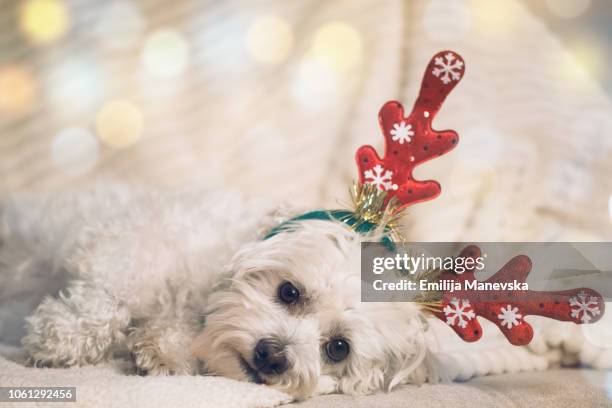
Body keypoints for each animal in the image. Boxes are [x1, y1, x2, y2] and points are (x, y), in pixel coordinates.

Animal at [0, 186, 432, 402]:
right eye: (289, 291)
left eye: (338, 348)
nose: (272, 357)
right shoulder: (128, 247)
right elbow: (111, 299)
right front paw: (61, 337)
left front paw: (164, 350)